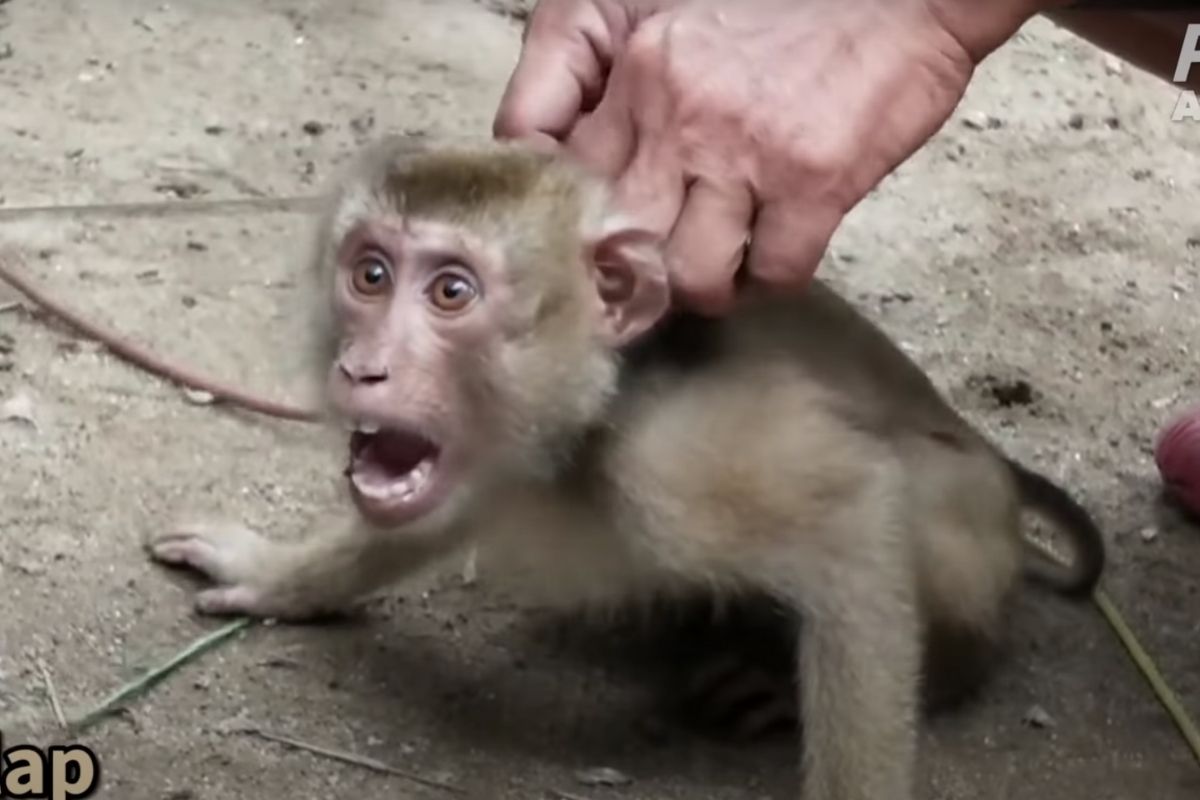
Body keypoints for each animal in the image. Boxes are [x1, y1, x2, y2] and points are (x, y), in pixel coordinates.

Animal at [144, 136, 1105, 800]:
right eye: (370, 274)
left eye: (451, 292)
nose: (364, 368)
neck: (592, 408)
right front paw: (281, 574)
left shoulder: (679, 462)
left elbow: (856, 517)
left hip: (967, 515)